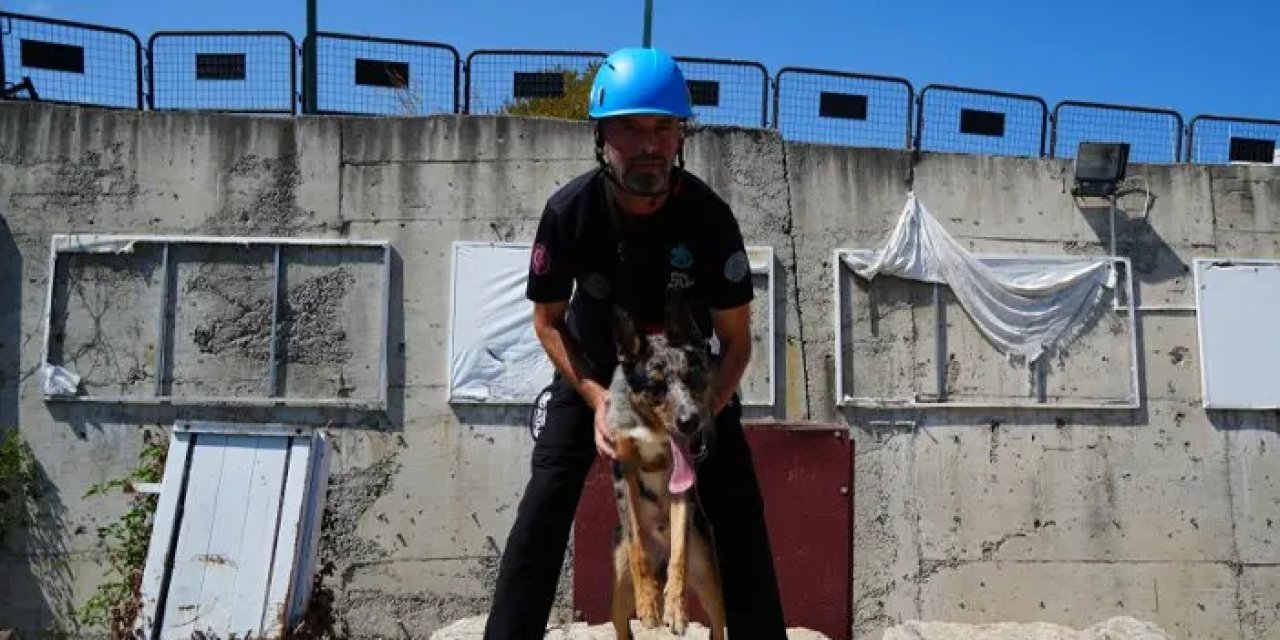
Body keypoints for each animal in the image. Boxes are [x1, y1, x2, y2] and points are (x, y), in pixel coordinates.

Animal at [604, 295, 727, 640]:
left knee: (717, 623)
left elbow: (679, 554)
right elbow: (636, 544)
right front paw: (649, 602)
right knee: (622, 626)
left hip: (710, 582)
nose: (690, 421)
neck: (653, 430)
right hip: (619, 590)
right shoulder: (622, 472)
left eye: (691, 377)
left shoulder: (681, 490)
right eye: (656, 387)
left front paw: (675, 607)